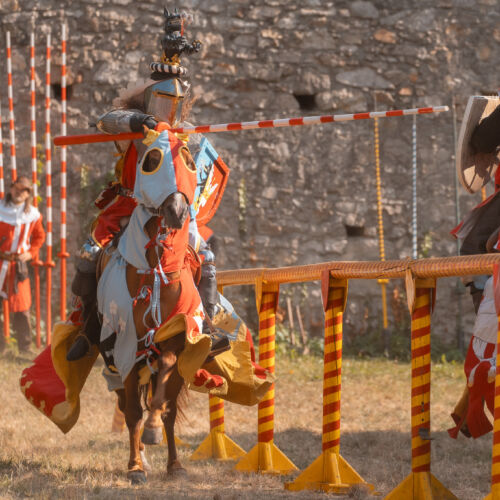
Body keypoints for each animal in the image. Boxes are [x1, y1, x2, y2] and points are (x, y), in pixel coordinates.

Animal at [95, 129, 205, 484]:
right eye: (152, 160)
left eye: (188, 159)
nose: (177, 211)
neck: (156, 272)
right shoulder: (126, 349)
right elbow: (132, 413)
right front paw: (135, 467)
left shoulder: (177, 341)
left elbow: (165, 390)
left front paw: (156, 433)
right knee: (127, 406)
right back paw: (141, 456)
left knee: (166, 407)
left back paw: (174, 464)